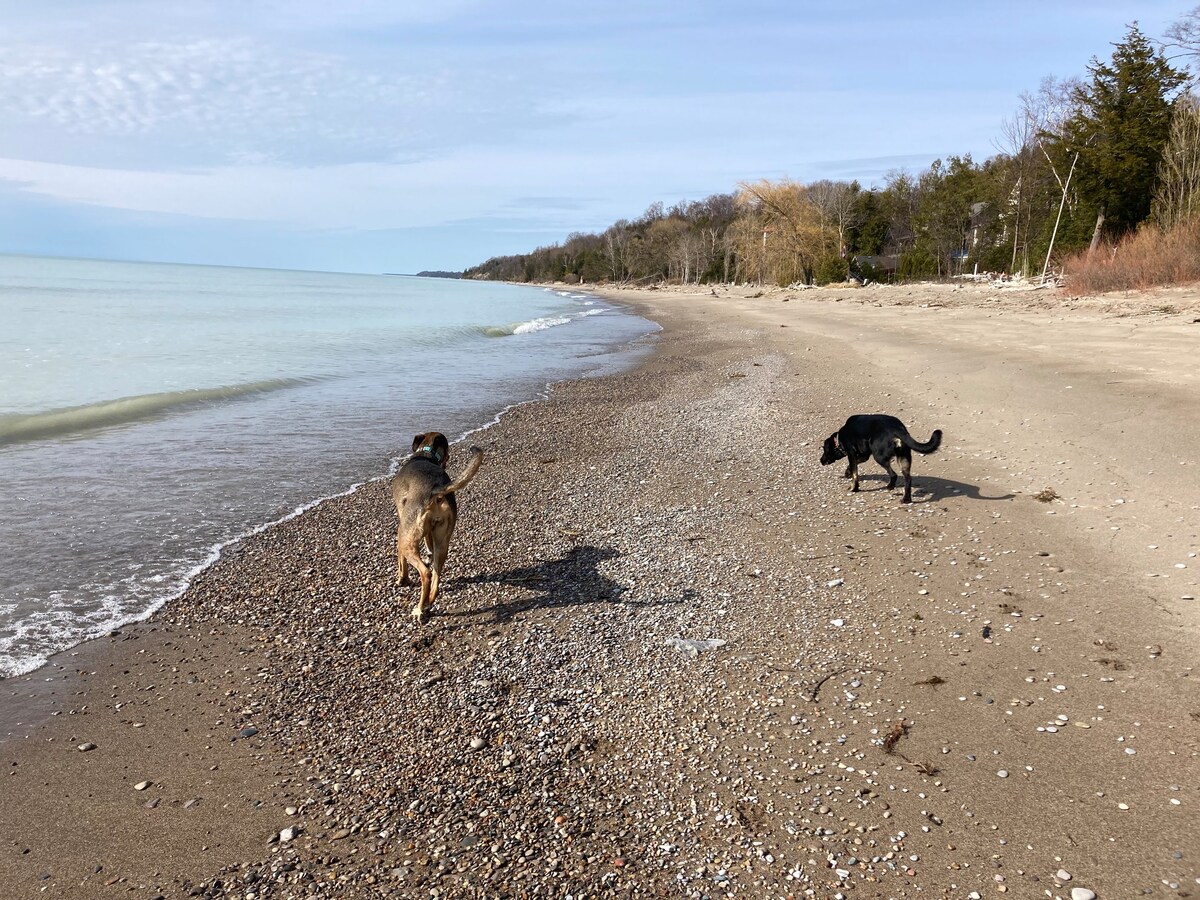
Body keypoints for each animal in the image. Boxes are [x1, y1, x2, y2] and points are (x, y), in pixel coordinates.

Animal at [396, 434, 484, 624]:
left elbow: (401, 563)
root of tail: (435, 490)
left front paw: (402, 580)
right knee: (435, 579)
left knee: (426, 574)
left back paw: (419, 609)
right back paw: (427, 604)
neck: (425, 453)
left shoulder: (402, 528)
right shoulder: (430, 534)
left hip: (405, 539)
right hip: (442, 542)